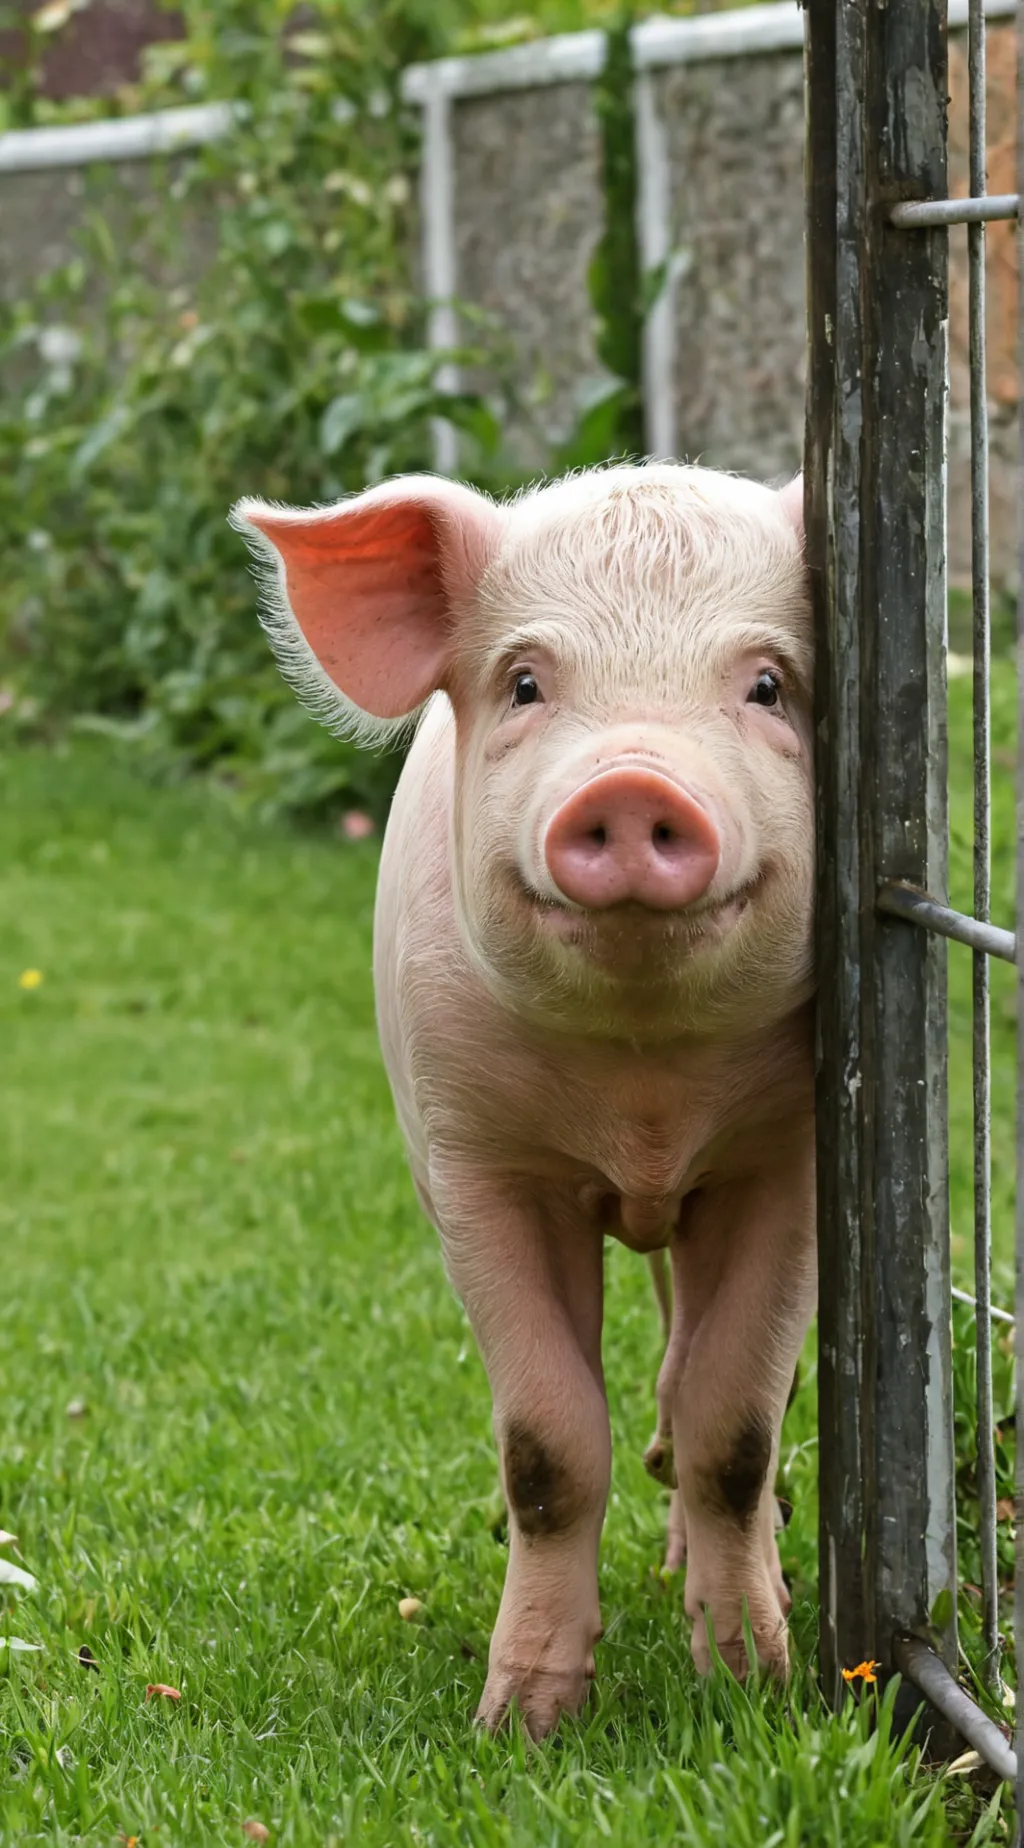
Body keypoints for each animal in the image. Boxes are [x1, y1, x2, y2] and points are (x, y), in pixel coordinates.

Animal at [231, 463, 815, 1739]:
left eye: (766, 684)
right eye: (527, 683)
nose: (633, 783)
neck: (644, 1102)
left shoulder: (787, 1162)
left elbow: (737, 1427)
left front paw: (754, 1691)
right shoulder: (471, 1162)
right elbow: (547, 1445)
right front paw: (521, 1724)